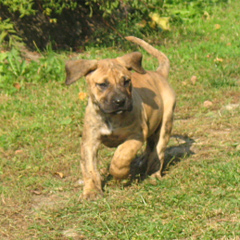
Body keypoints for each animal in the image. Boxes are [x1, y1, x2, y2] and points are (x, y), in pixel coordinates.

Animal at [64, 37, 175, 199]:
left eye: (126, 81)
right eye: (102, 84)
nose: (120, 101)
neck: (110, 117)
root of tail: (159, 73)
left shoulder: (136, 135)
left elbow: (121, 156)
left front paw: (119, 176)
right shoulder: (89, 141)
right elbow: (89, 168)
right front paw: (92, 191)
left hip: (166, 122)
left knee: (158, 150)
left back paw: (153, 174)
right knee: (151, 145)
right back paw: (142, 161)